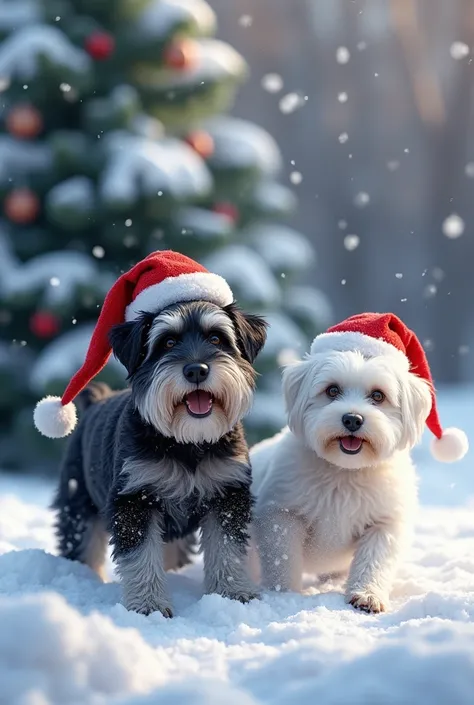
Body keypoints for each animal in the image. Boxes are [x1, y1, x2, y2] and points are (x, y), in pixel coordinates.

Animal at [52, 300, 266, 612]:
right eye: (167, 342)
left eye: (216, 338)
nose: (196, 370)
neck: (188, 443)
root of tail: (94, 401)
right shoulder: (134, 500)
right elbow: (141, 556)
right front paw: (149, 604)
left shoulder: (227, 495)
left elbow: (227, 547)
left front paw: (233, 592)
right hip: (78, 501)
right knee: (82, 544)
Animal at [250, 314, 468, 612]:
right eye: (332, 390)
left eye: (378, 396)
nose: (352, 419)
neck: (345, 472)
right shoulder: (281, 514)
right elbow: (282, 560)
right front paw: (282, 595)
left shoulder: (384, 523)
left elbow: (374, 561)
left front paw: (367, 595)